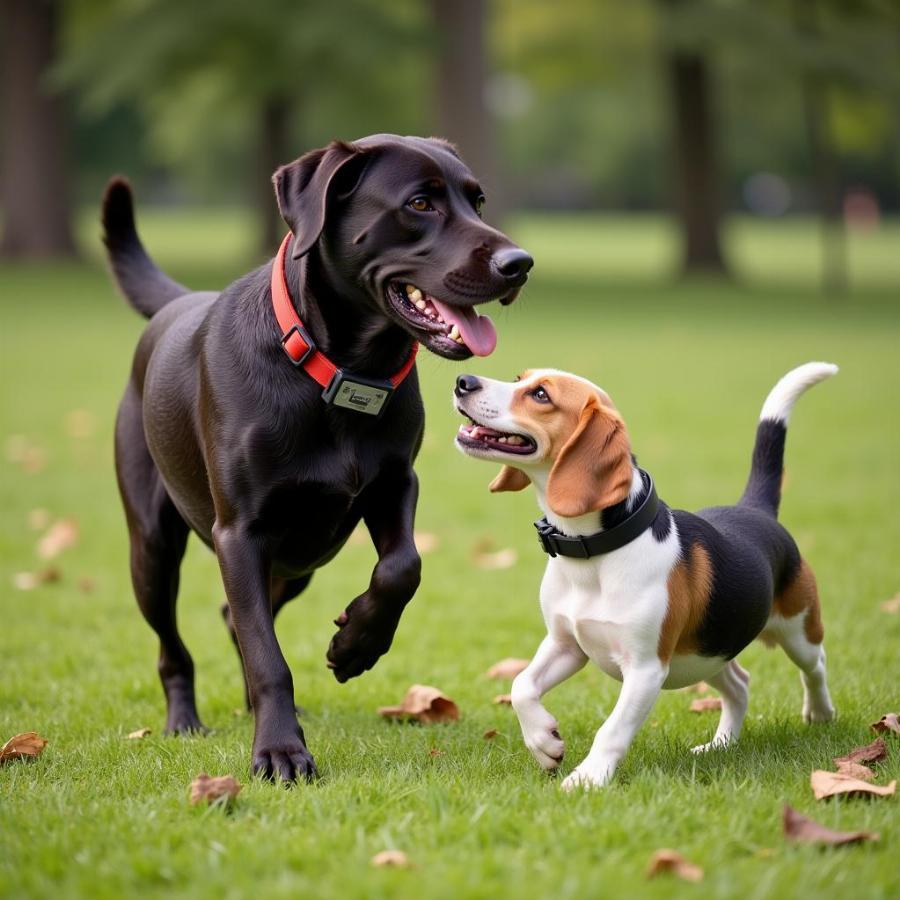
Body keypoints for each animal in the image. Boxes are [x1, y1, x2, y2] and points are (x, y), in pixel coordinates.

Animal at [103, 134, 532, 780]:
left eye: (476, 200)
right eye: (420, 203)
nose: (519, 264)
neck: (342, 372)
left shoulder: (394, 485)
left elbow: (403, 567)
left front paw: (355, 644)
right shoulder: (240, 533)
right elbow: (267, 655)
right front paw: (280, 750)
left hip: (298, 562)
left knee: (235, 616)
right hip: (153, 549)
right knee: (176, 645)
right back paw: (184, 720)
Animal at [454, 366, 840, 788]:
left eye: (541, 395)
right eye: (518, 378)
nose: (463, 381)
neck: (592, 555)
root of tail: (755, 510)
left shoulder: (645, 669)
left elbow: (612, 729)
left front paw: (588, 778)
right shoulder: (565, 644)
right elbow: (521, 685)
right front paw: (545, 742)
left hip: (796, 630)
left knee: (815, 664)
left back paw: (820, 713)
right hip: (706, 652)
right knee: (739, 684)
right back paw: (721, 745)